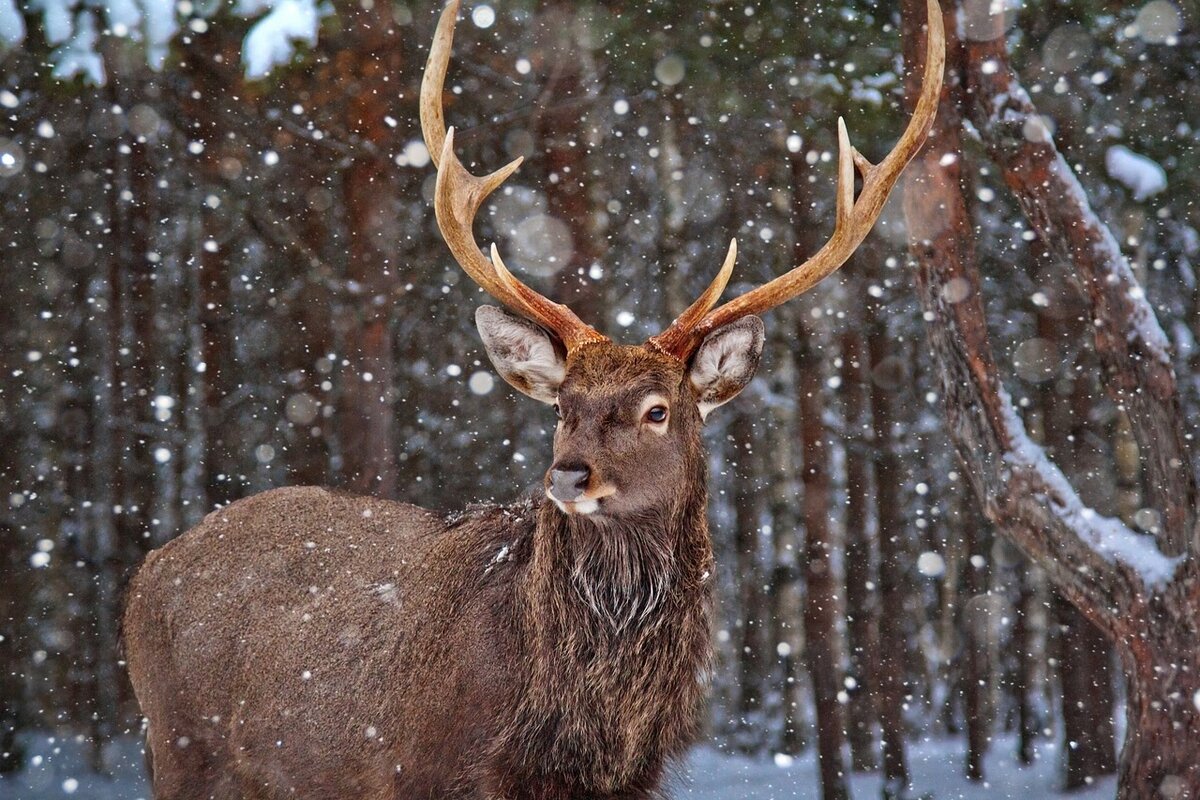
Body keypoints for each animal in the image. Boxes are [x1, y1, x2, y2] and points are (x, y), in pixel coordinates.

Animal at [124, 3, 945, 796]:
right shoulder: (422, 769)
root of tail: (144, 575)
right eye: (561, 406)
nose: (570, 475)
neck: (571, 727)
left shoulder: (630, 783)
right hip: (182, 747)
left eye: (658, 409)